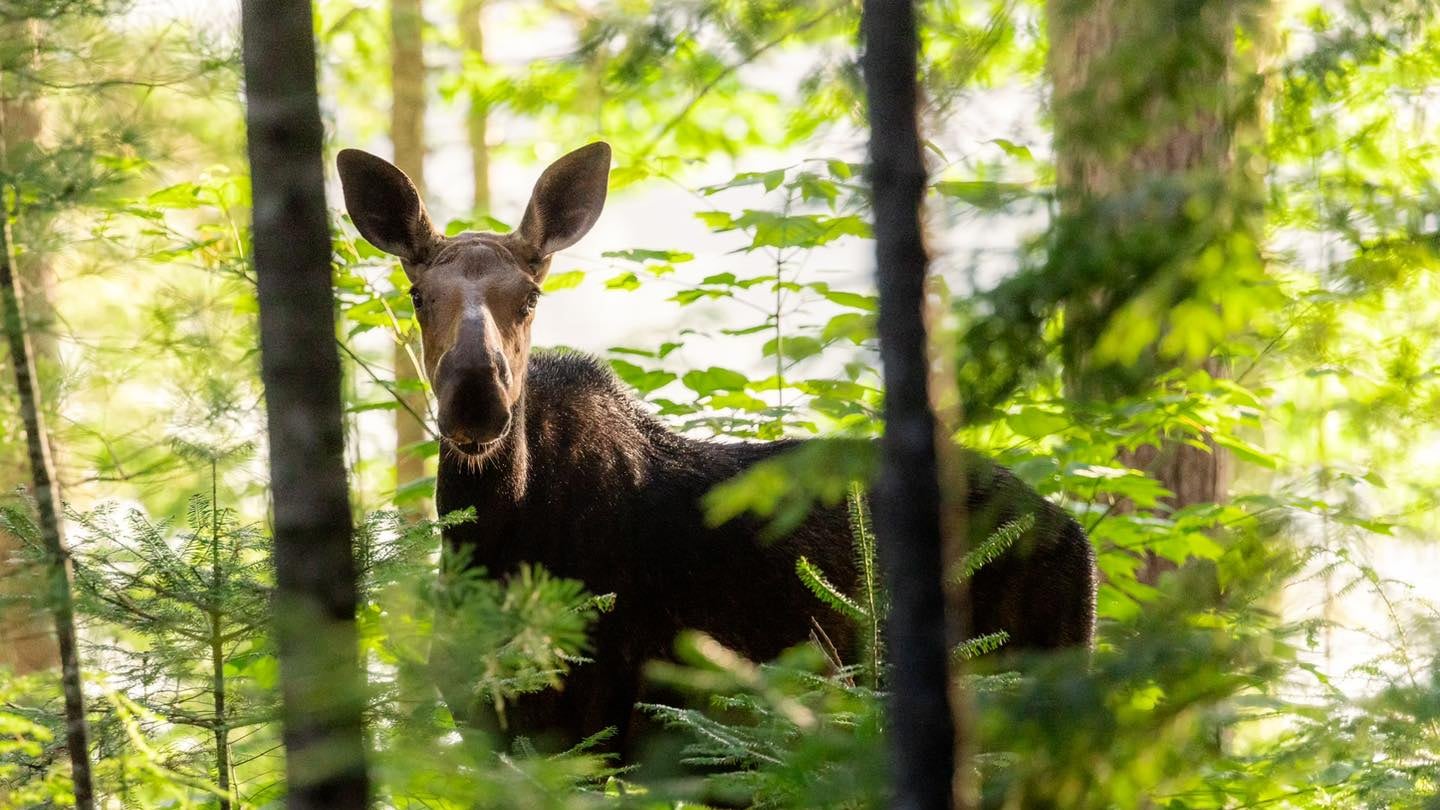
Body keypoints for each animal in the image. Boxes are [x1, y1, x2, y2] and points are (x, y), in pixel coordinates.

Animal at [336, 140, 1094, 749]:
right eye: (417, 294)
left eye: (529, 296)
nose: (476, 396)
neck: (498, 554)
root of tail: (1073, 532)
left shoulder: (606, 719)